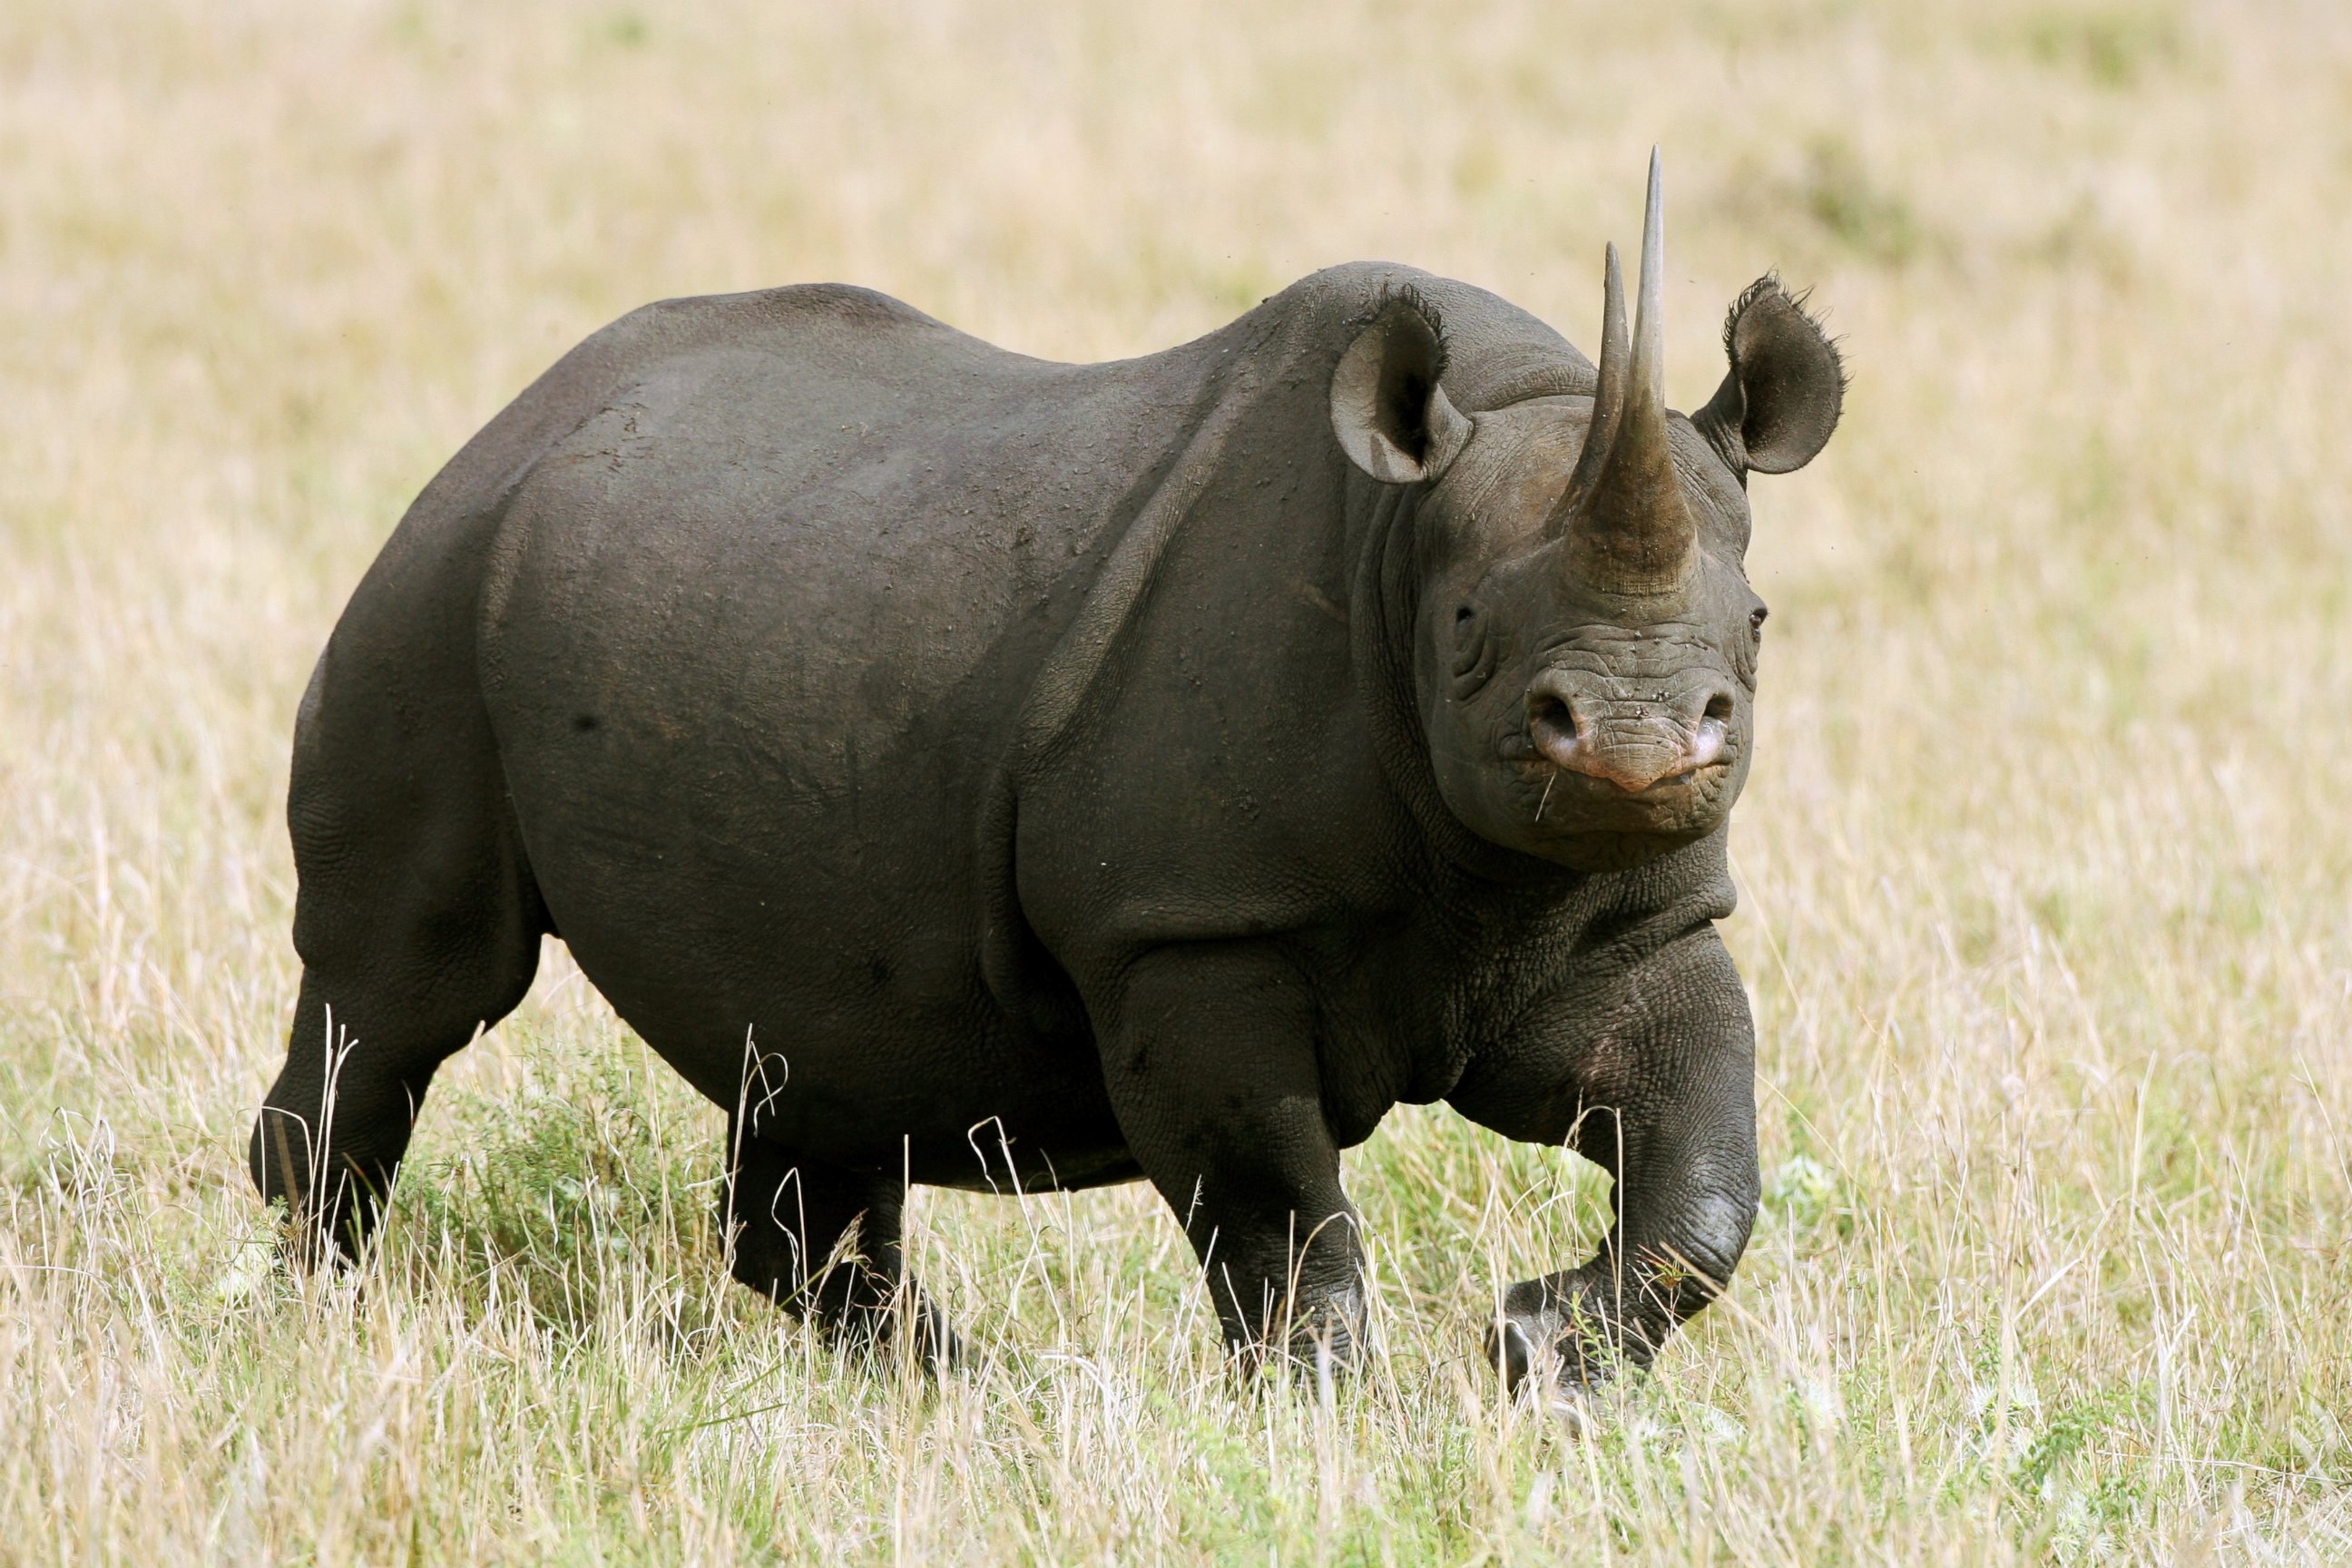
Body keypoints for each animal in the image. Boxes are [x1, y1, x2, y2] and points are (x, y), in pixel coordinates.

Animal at [252, 152, 1834, 1391]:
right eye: (1467, 634)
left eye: (1758, 628)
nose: (1635, 745)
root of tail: (523, 410)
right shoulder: (1186, 928)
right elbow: (1275, 1208)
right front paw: (1325, 1411)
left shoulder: (1634, 916)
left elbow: (1708, 1169)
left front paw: (1543, 1357)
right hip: (435, 586)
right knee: (411, 985)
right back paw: (311, 1305)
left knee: (820, 1065)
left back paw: (963, 1391)